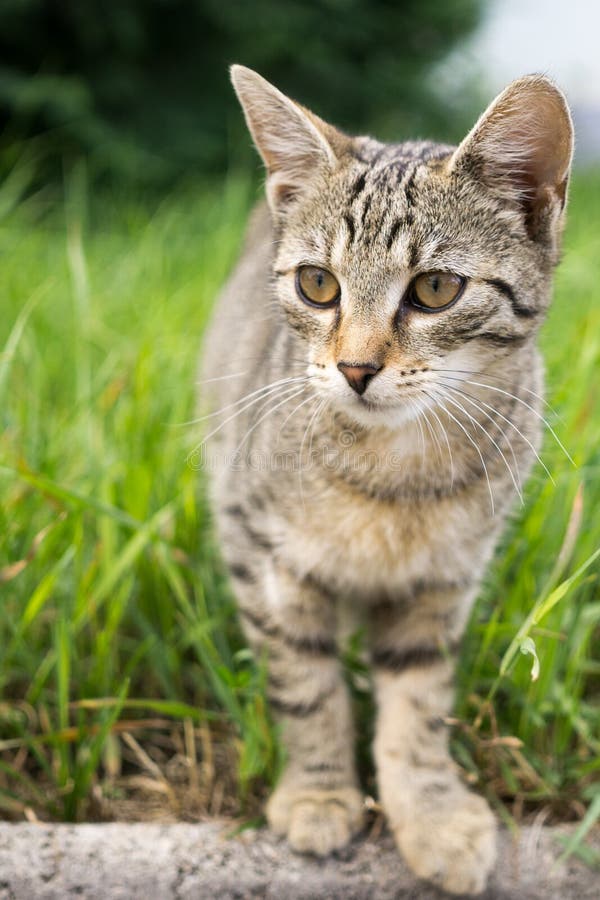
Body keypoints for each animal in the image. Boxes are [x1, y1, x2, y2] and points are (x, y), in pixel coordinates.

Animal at [199, 67, 576, 896]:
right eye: (317, 284)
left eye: (435, 289)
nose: (355, 368)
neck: (393, 476)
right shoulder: (257, 549)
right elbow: (305, 686)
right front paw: (319, 794)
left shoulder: (445, 578)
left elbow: (418, 702)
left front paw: (430, 812)